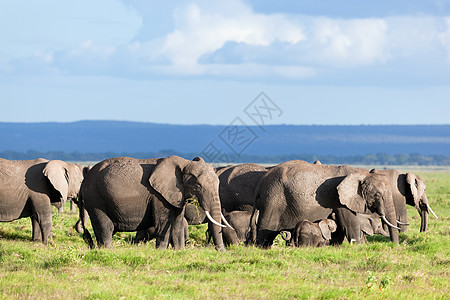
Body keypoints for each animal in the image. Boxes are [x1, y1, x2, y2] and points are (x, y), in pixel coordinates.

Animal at [78, 156, 227, 250]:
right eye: (197, 186)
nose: (221, 252)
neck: (184, 163)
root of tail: (84, 181)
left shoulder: (176, 195)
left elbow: (178, 224)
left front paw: (180, 251)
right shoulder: (158, 196)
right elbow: (163, 223)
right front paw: (161, 251)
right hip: (96, 198)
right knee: (105, 226)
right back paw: (107, 250)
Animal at [255, 161, 400, 247]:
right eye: (377, 195)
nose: (395, 246)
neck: (361, 173)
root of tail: (261, 183)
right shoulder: (340, 200)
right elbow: (350, 223)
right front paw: (359, 247)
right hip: (273, 200)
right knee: (265, 233)